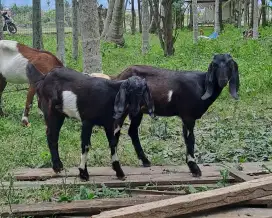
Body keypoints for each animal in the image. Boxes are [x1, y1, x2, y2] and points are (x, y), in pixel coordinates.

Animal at [26, 62, 154, 181]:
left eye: (143, 91)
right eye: (129, 91)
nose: (135, 110)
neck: (110, 95)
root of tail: (44, 78)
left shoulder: (110, 124)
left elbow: (113, 144)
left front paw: (119, 172)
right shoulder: (87, 121)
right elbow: (86, 145)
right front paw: (83, 173)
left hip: (60, 113)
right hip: (51, 111)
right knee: (52, 135)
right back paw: (57, 166)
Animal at [111, 54, 239, 177]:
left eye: (230, 65)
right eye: (215, 65)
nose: (223, 80)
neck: (201, 84)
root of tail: (119, 76)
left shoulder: (185, 117)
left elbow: (187, 139)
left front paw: (191, 166)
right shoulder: (188, 116)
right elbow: (190, 139)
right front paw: (195, 169)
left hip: (137, 111)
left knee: (132, 131)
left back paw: (145, 161)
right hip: (122, 108)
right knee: (115, 132)